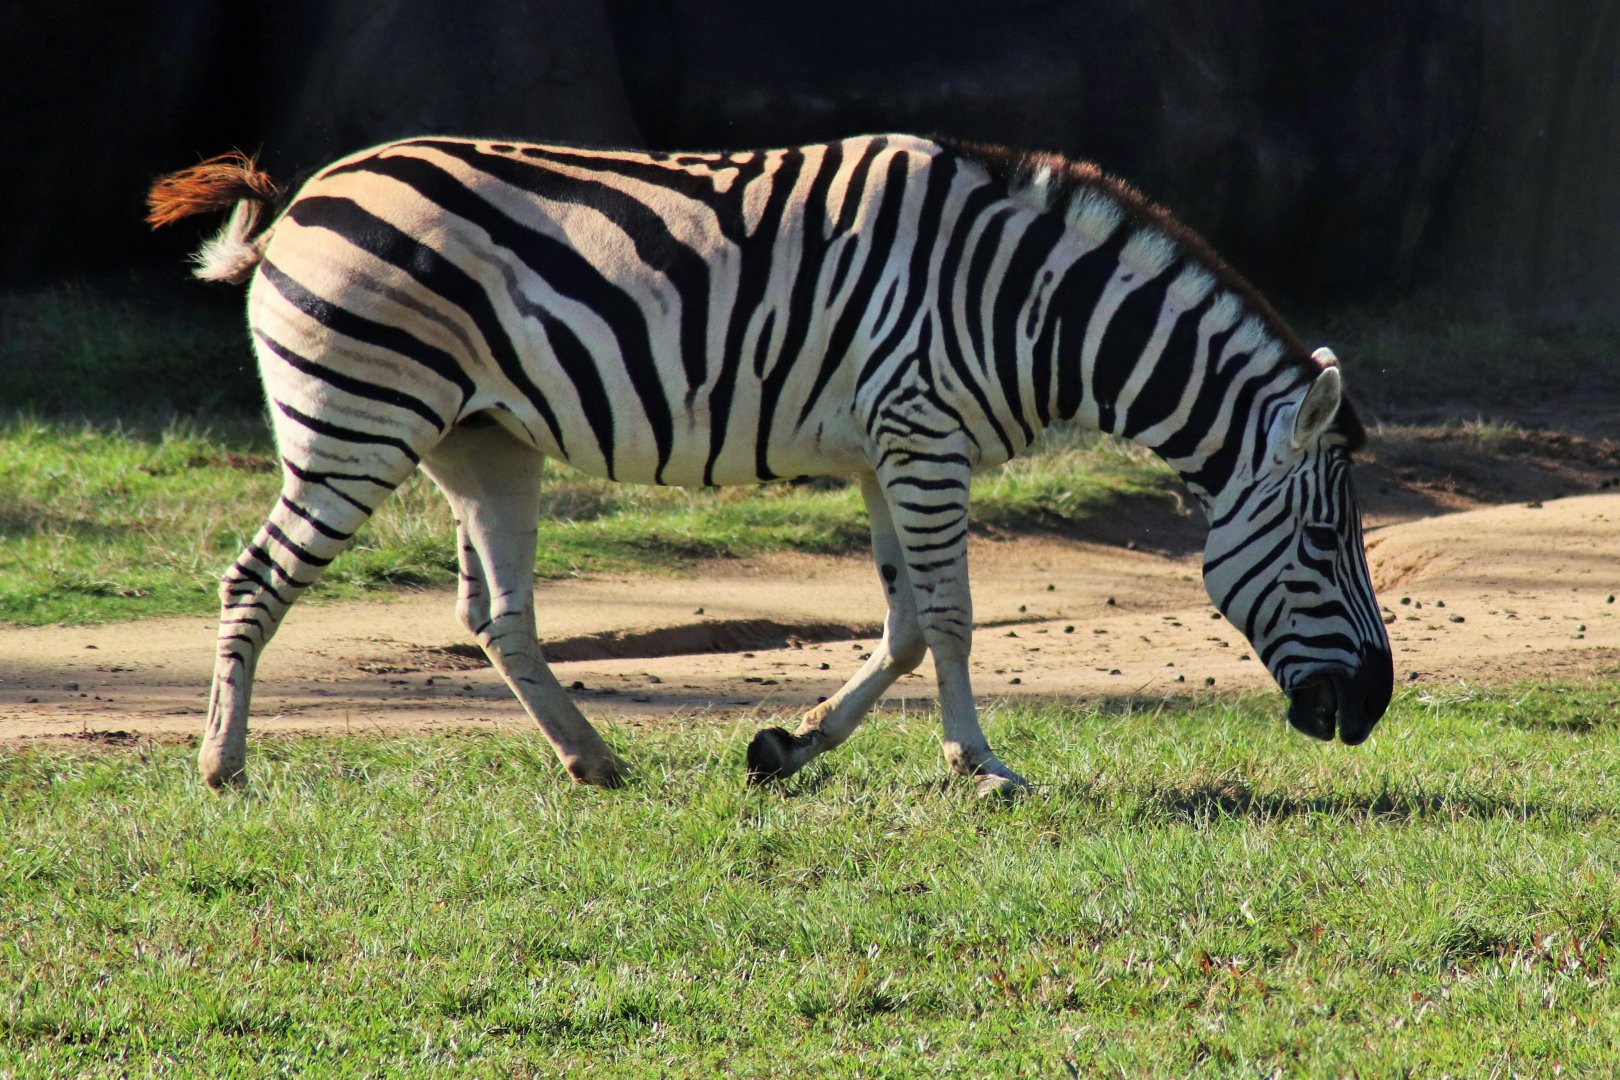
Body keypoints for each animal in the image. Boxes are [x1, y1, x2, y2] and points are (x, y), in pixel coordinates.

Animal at [146, 133, 1393, 796]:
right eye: (1328, 539)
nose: (1373, 710)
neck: (1026, 305)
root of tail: (308, 195)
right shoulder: (924, 434)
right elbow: (951, 618)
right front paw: (979, 764)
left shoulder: (893, 449)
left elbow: (904, 623)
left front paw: (789, 746)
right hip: (359, 420)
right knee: (255, 578)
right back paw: (221, 766)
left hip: (481, 442)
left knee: (498, 618)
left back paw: (593, 760)